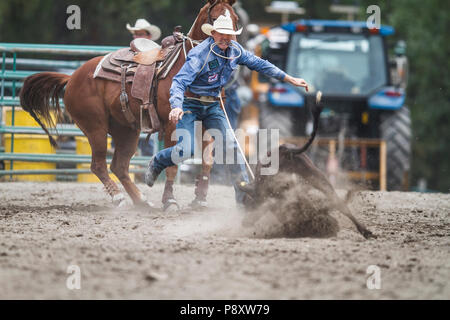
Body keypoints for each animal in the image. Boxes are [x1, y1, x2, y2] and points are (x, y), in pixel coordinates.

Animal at [18, 0, 239, 209]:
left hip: (126, 131)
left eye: (235, 18)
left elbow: (208, 161)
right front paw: (169, 201)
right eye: (216, 19)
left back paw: (142, 201)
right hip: (95, 128)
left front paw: (199, 198)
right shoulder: (172, 125)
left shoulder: (207, 122)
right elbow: (173, 164)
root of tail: (71, 77)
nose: (233, 51)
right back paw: (119, 199)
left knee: (119, 166)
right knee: (99, 165)